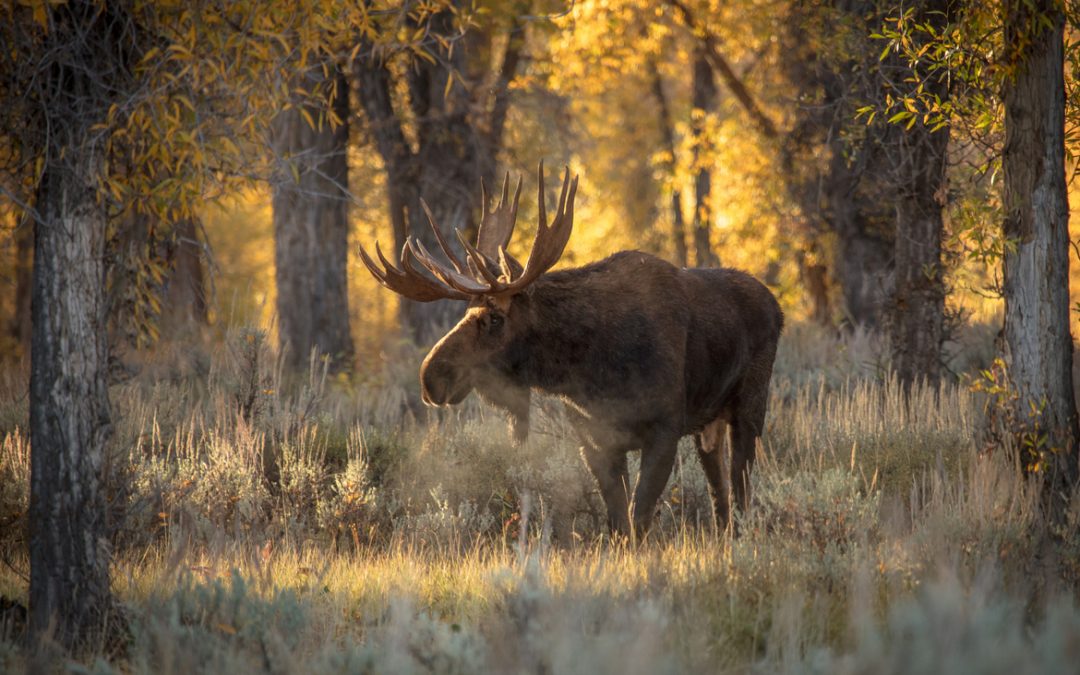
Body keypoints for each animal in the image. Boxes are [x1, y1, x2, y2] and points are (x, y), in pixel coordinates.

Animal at [358, 163, 783, 537]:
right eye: (467, 312)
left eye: (495, 317)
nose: (430, 376)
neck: (589, 371)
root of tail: (776, 306)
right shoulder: (593, 440)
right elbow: (619, 522)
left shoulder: (664, 428)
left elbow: (640, 517)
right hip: (708, 424)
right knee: (720, 497)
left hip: (749, 409)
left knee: (740, 492)